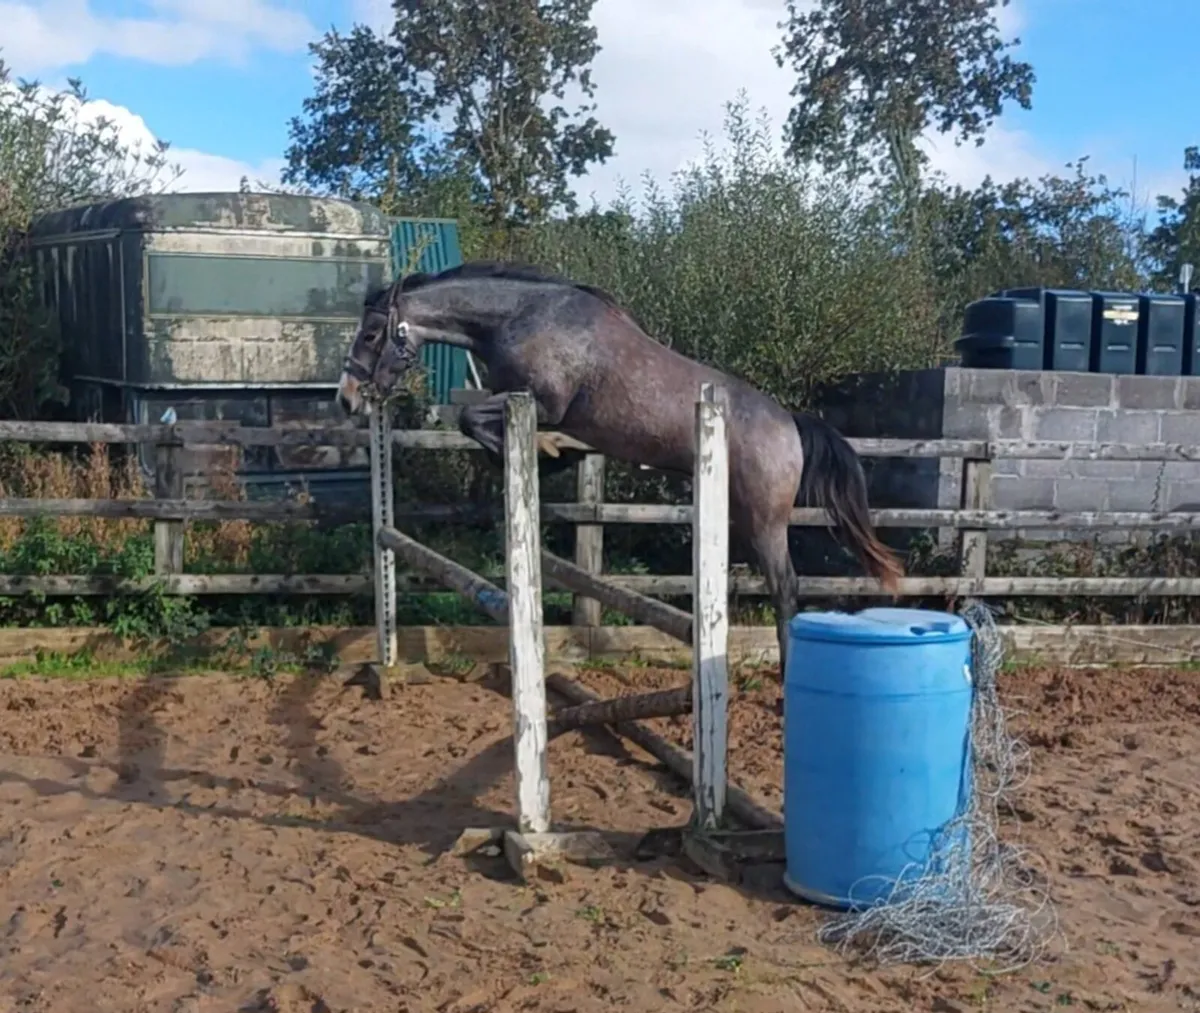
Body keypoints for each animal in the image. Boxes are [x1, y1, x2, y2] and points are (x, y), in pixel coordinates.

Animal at [337, 260, 903, 677]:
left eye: (371, 334)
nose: (348, 399)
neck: (516, 319)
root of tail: (790, 424)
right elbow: (479, 426)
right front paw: (552, 455)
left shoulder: (542, 402)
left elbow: (472, 419)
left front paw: (543, 451)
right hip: (737, 516)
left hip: (766, 522)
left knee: (786, 588)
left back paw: (789, 675)